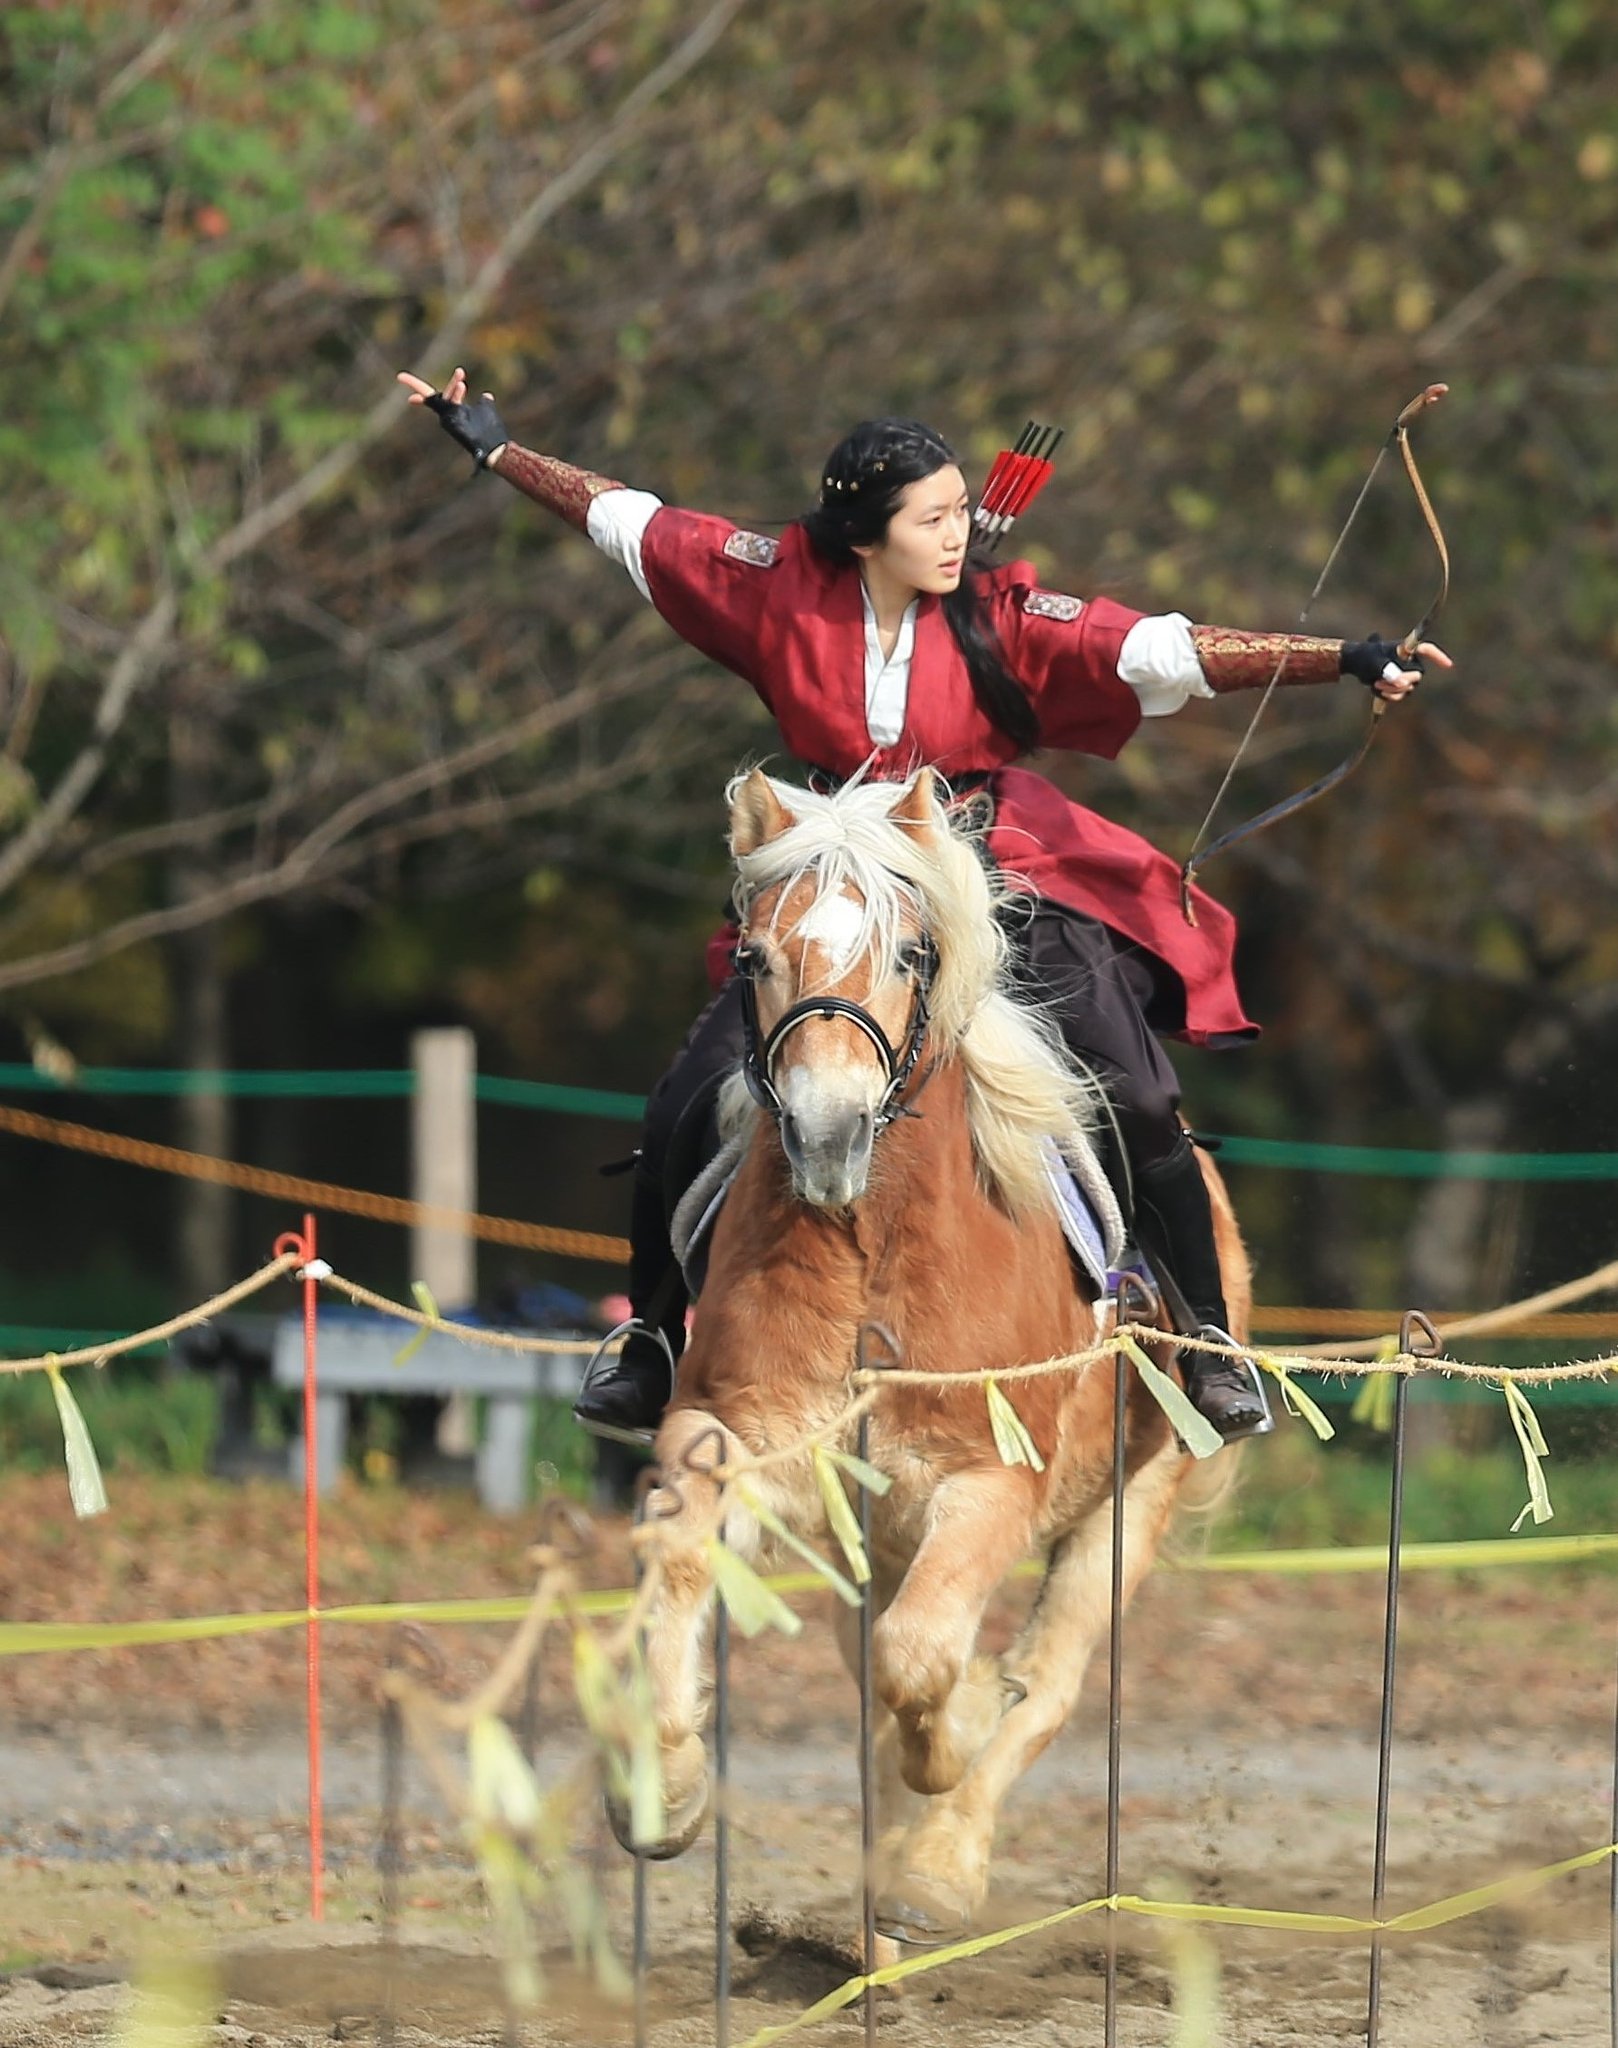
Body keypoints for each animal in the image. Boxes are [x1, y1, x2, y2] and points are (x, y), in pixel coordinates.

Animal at [624, 764, 1250, 1944]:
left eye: (912, 953)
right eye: (751, 957)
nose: (829, 1131)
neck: (875, 1248)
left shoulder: (991, 1482)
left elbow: (924, 1661)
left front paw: (949, 1762)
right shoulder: (735, 1438)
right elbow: (682, 1562)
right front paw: (662, 1791)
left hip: (1128, 1504)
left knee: (1043, 1676)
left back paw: (937, 1869)